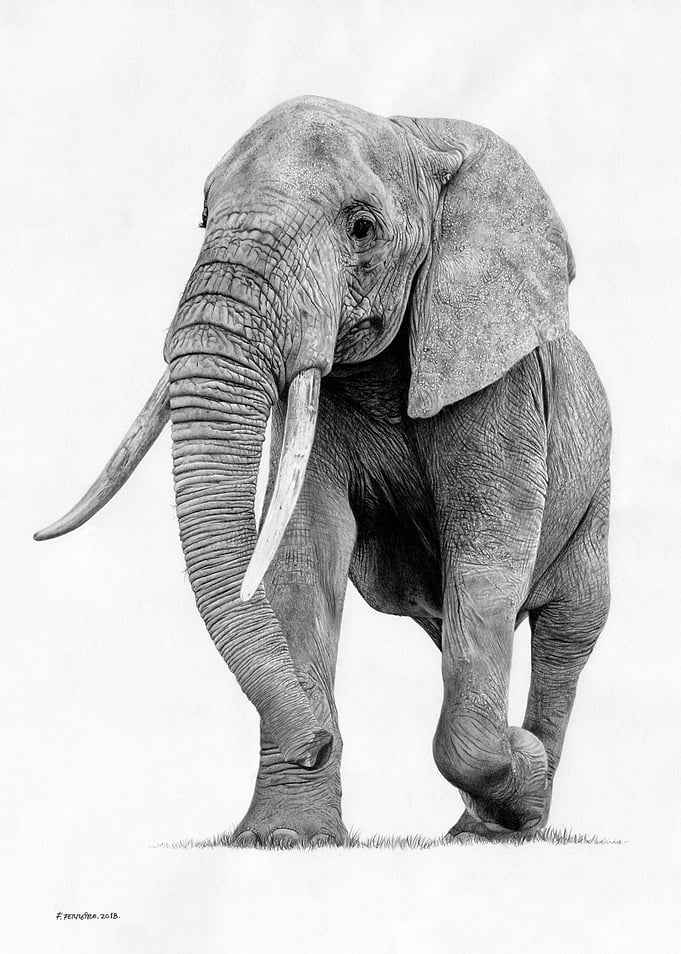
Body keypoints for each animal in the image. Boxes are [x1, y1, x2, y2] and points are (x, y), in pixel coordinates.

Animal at [35, 95, 611, 846]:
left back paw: (512, 819)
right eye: (203, 215)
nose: (315, 742)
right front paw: (285, 839)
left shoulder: (499, 382)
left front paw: (524, 767)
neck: (420, 138)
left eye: (362, 227)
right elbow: (303, 553)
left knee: (567, 627)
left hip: (596, 489)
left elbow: (486, 555)